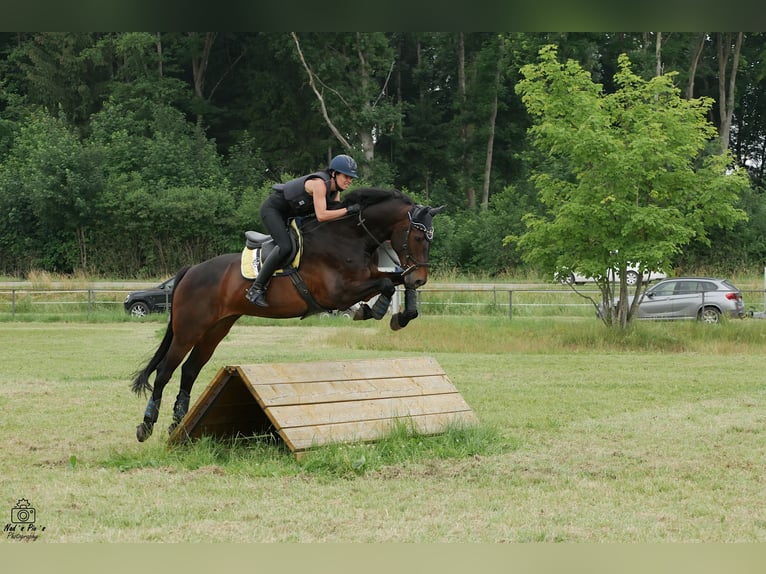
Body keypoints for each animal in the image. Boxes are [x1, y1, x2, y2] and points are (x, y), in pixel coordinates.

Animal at [130, 187, 445, 442]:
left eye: (430, 239)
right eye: (418, 237)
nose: (421, 279)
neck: (349, 238)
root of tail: (189, 271)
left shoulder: (366, 278)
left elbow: (394, 280)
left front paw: (400, 315)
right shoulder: (337, 293)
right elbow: (386, 284)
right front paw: (374, 310)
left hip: (215, 330)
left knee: (190, 370)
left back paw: (178, 425)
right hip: (188, 329)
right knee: (165, 371)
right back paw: (146, 425)